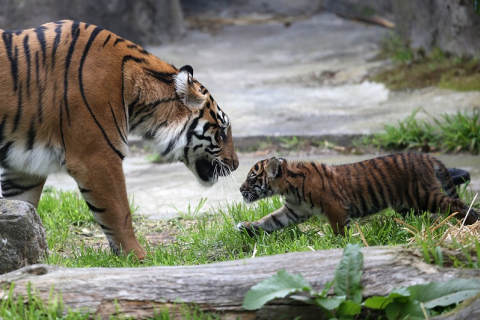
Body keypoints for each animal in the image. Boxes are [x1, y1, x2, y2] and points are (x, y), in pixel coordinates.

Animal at [0, 20, 240, 260]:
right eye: (221, 132)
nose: (236, 164)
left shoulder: (24, 169)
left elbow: (25, 215)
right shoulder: (97, 157)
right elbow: (119, 213)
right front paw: (139, 257)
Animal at [238, 154, 478, 236]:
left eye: (252, 178)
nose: (240, 189)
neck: (288, 186)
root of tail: (428, 157)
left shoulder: (334, 206)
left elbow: (339, 229)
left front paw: (338, 244)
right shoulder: (293, 211)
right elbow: (270, 220)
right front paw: (248, 227)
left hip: (423, 195)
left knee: (455, 203)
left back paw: (470, 222)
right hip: (410, 203)